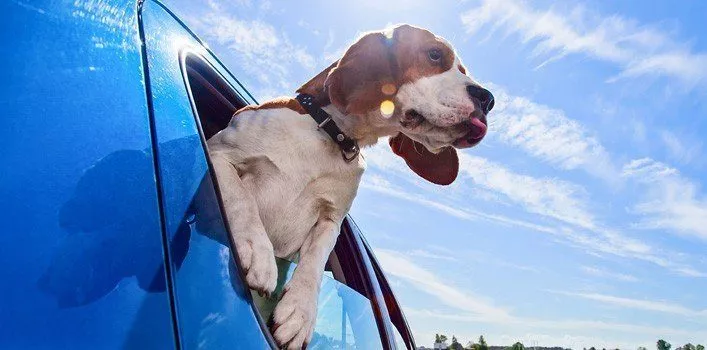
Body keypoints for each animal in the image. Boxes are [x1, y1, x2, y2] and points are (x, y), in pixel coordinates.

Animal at [206, 23, 492, 348]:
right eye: (434, 54)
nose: (488, 100)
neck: (329, 132)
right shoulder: (218, 153)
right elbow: (240, 196)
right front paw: (258, 251)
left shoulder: (330, 220)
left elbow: (314, 262)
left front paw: (300, 313)